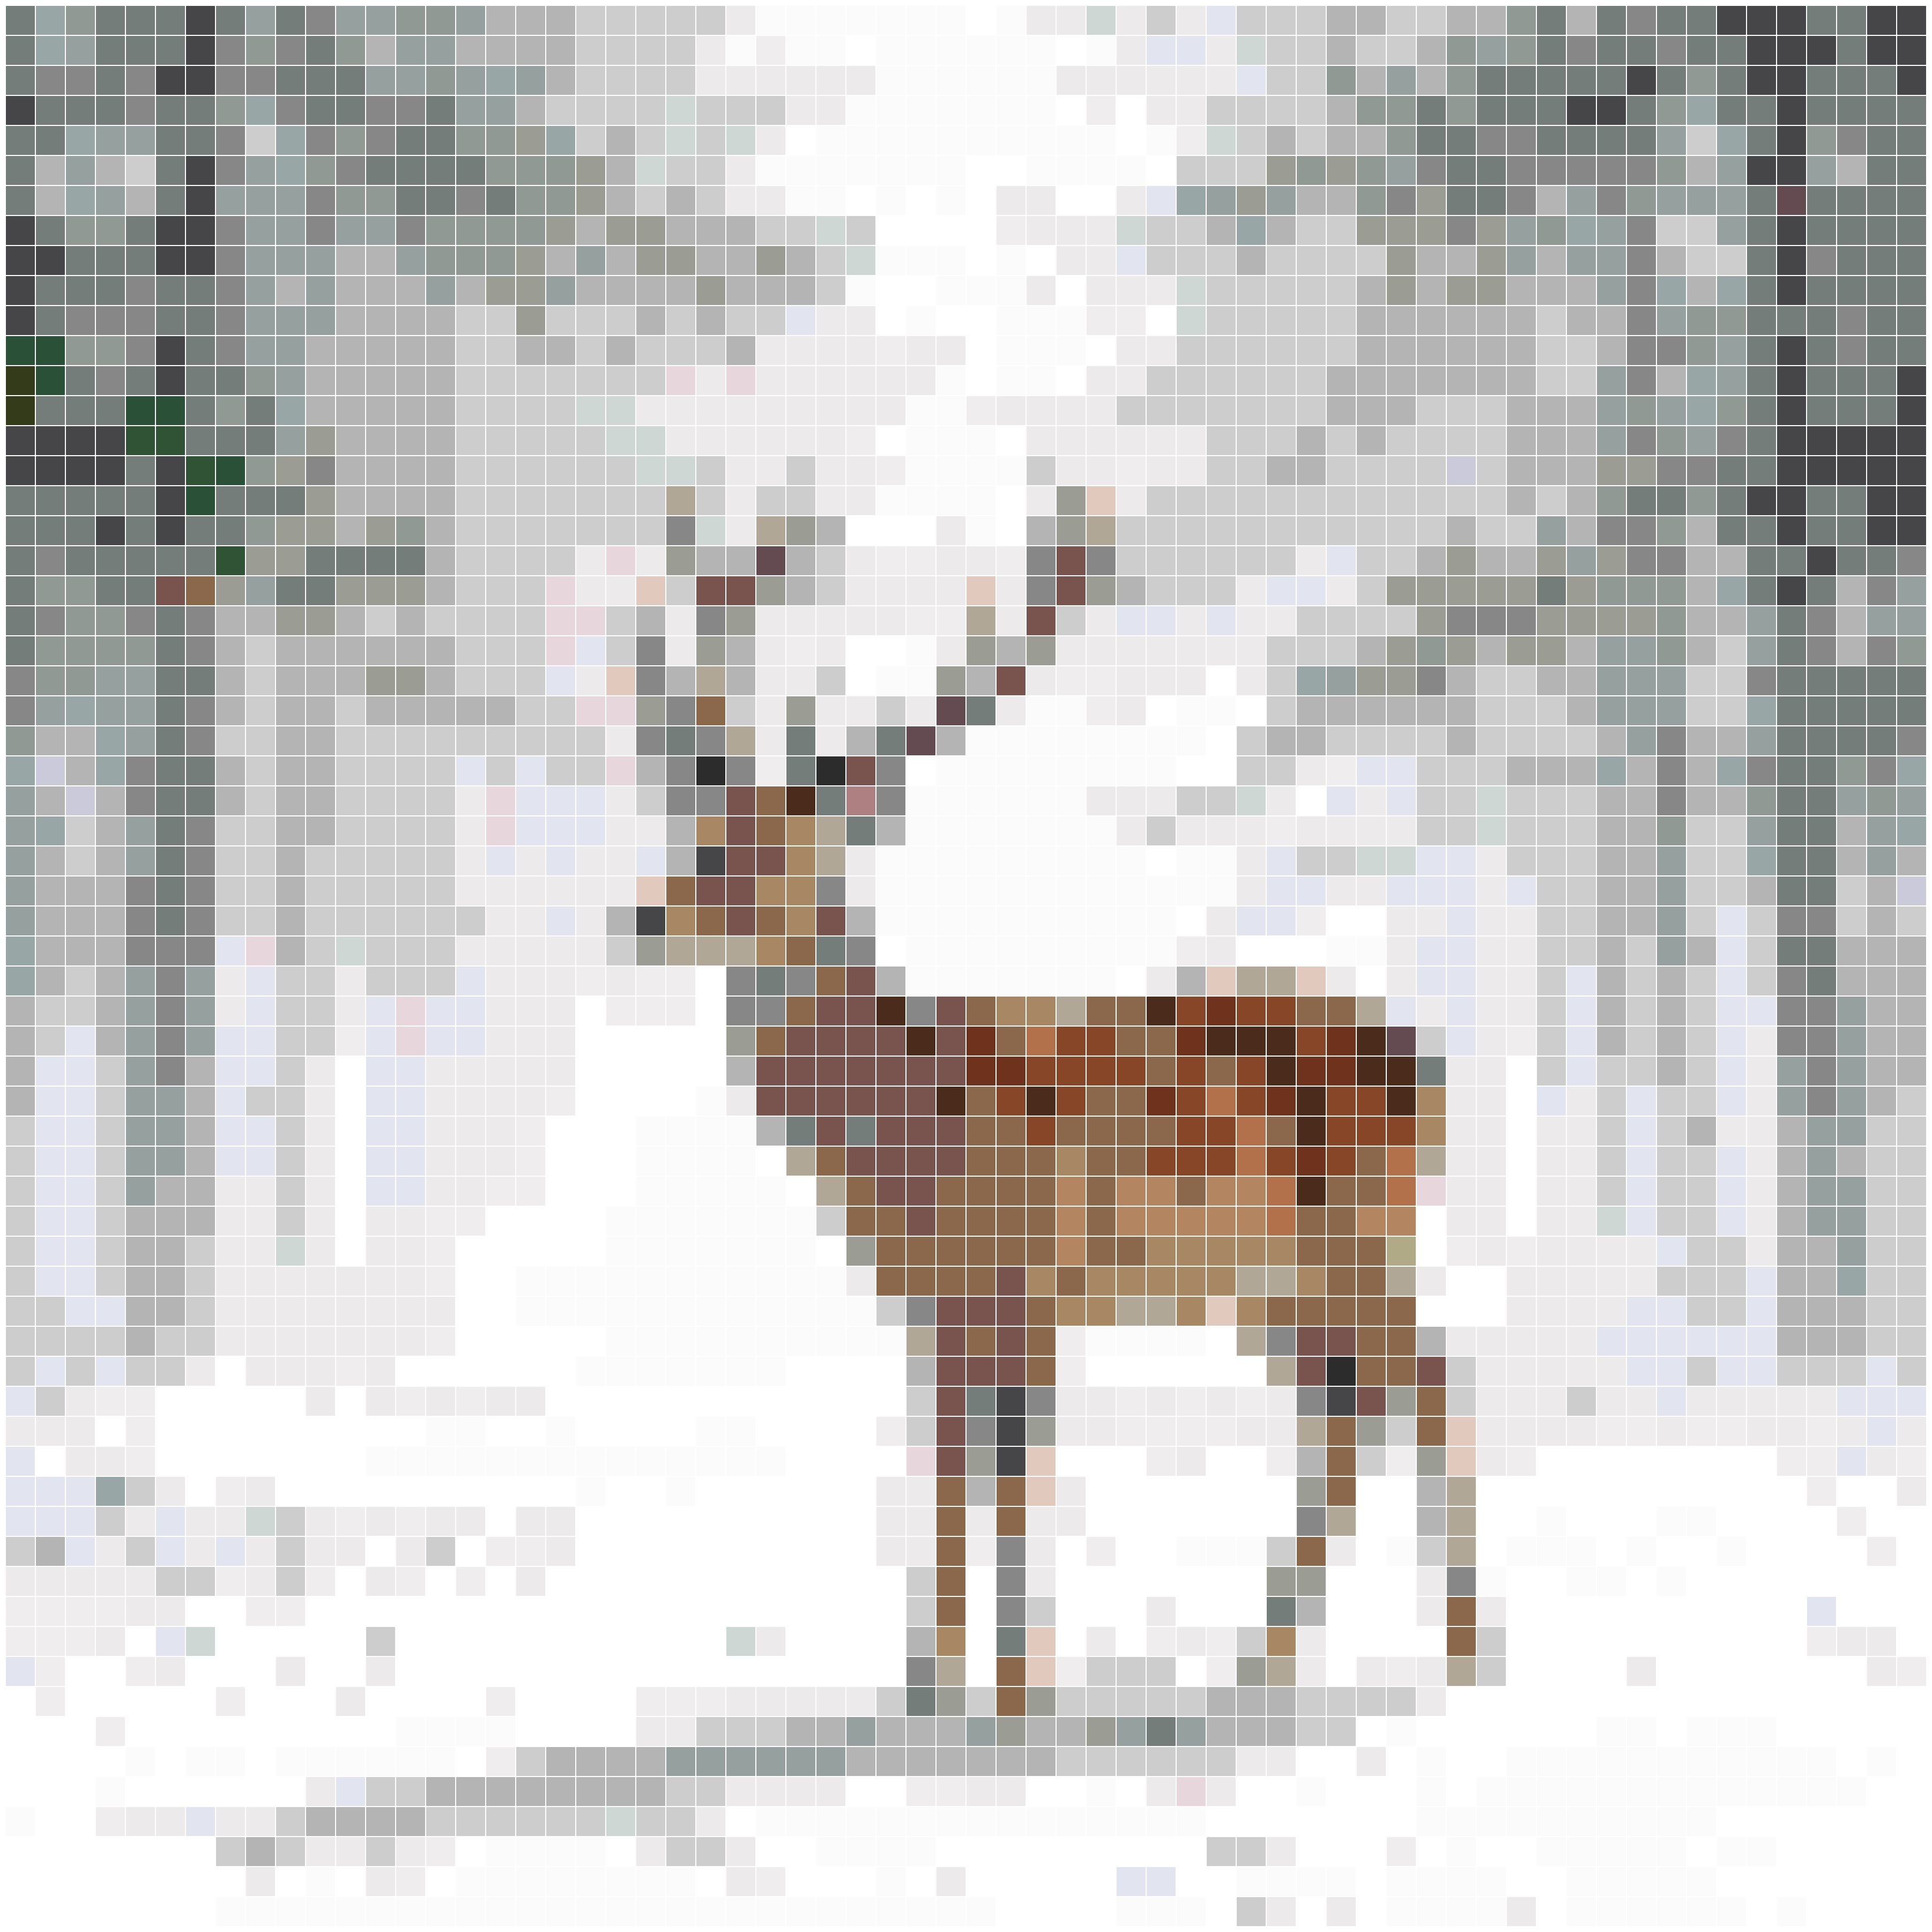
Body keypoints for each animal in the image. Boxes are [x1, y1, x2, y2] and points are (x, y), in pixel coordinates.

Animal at [628, 484, 1475, 1721]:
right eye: (701, 833)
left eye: (781, 853)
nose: (642, 915)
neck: (910, 1135)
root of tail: (1429, 1065)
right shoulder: (935, 1307)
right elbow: (949, 1477)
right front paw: (932, 1690)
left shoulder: (1027, 1283)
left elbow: (1013, 1486)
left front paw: (1011, 1700)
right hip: (1269, 1278)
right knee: (1350, 1402)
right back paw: (1260, 1662)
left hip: (1360, 1232)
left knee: (1429, 1374)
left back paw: (1463, 1652)